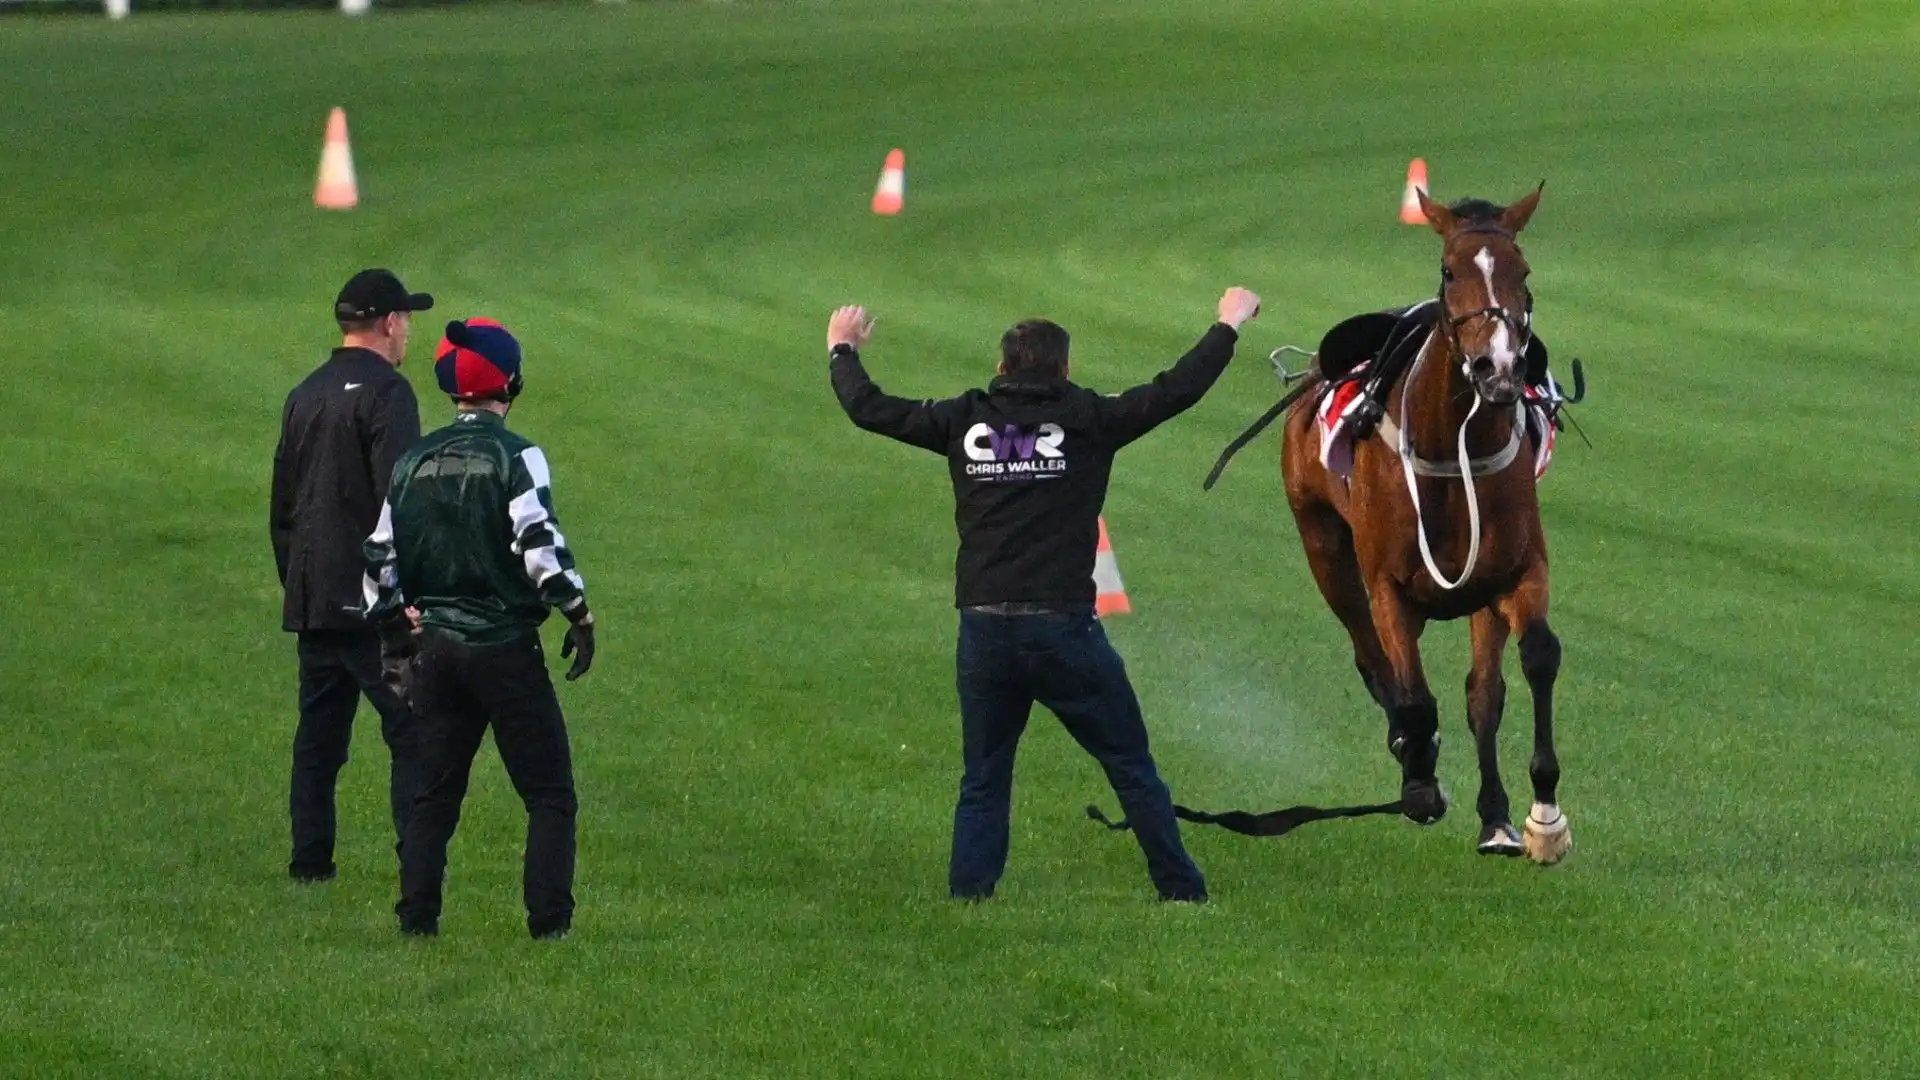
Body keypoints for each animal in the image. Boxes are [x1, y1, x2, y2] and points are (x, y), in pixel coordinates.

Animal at [1274, 184, 1574, 857]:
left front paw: (1540, 816)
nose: (1498, 368)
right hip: (1321, 541)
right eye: (1448, 271)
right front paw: (1419, 781)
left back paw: (1495, 816)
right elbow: (1412, 692)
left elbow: (1531, 661)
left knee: (1481, 692)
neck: (1450, 452)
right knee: (1370, 655)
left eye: (1523, 273)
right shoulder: (1388, 585)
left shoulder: (1513, 572)